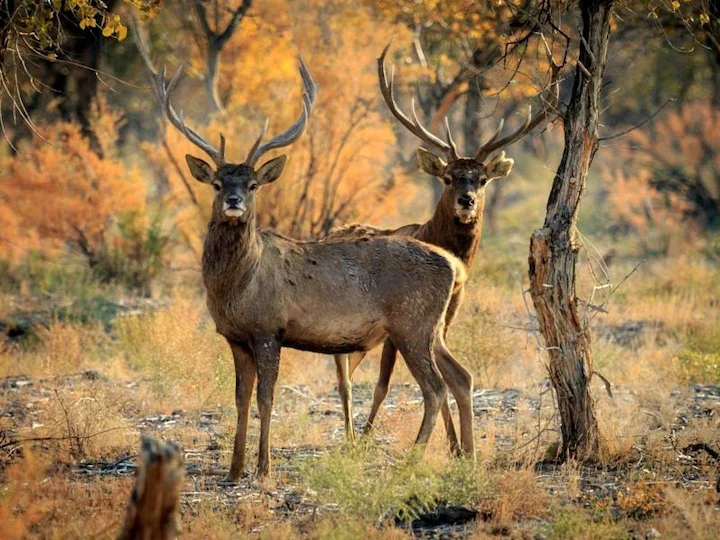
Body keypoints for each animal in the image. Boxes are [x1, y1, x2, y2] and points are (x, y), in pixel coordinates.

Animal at [150, 58, 474, 479]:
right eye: (218, 183)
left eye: (253, 184)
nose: (234, 201)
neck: (238, 288)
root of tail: (453, 265)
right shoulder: (235, 337)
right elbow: (239, 400)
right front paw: (235, 469)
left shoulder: (269, 329)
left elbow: (266, 399)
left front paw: (264, 468)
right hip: (431, 328)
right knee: (461, 376)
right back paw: (468, 456)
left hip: (412, 324)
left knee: (435, 387)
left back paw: (413, 459)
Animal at [330, 42, 561, 452]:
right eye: (449, 177)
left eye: (482, 179)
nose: (466, 201)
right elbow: (383, 384)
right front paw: (370, 434)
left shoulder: (445, 320)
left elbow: (441, 382)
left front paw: (455, 446)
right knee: (343, 377)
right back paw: (352, 434)